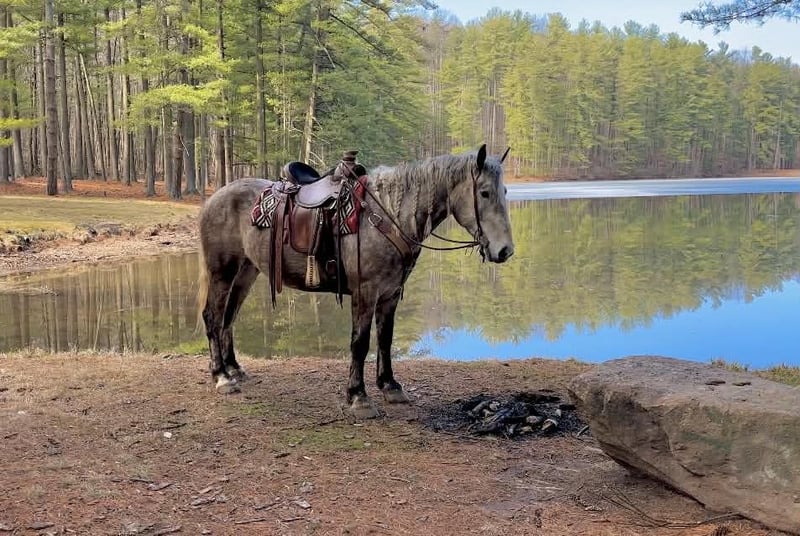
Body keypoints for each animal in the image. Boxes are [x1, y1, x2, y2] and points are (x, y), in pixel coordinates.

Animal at [197, 144, 514, 418]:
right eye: (484, 193)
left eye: (504, 191)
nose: (505, 251)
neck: (386, 217)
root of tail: (215, 197)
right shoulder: (366, 293)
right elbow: (360, 343)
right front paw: (358, 396)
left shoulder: (390, 294)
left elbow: (385, 340)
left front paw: (390, 386)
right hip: (222, 271)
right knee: (213, 317)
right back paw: (221, 376)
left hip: (246, 272)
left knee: (228, 318)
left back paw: (234, 369)